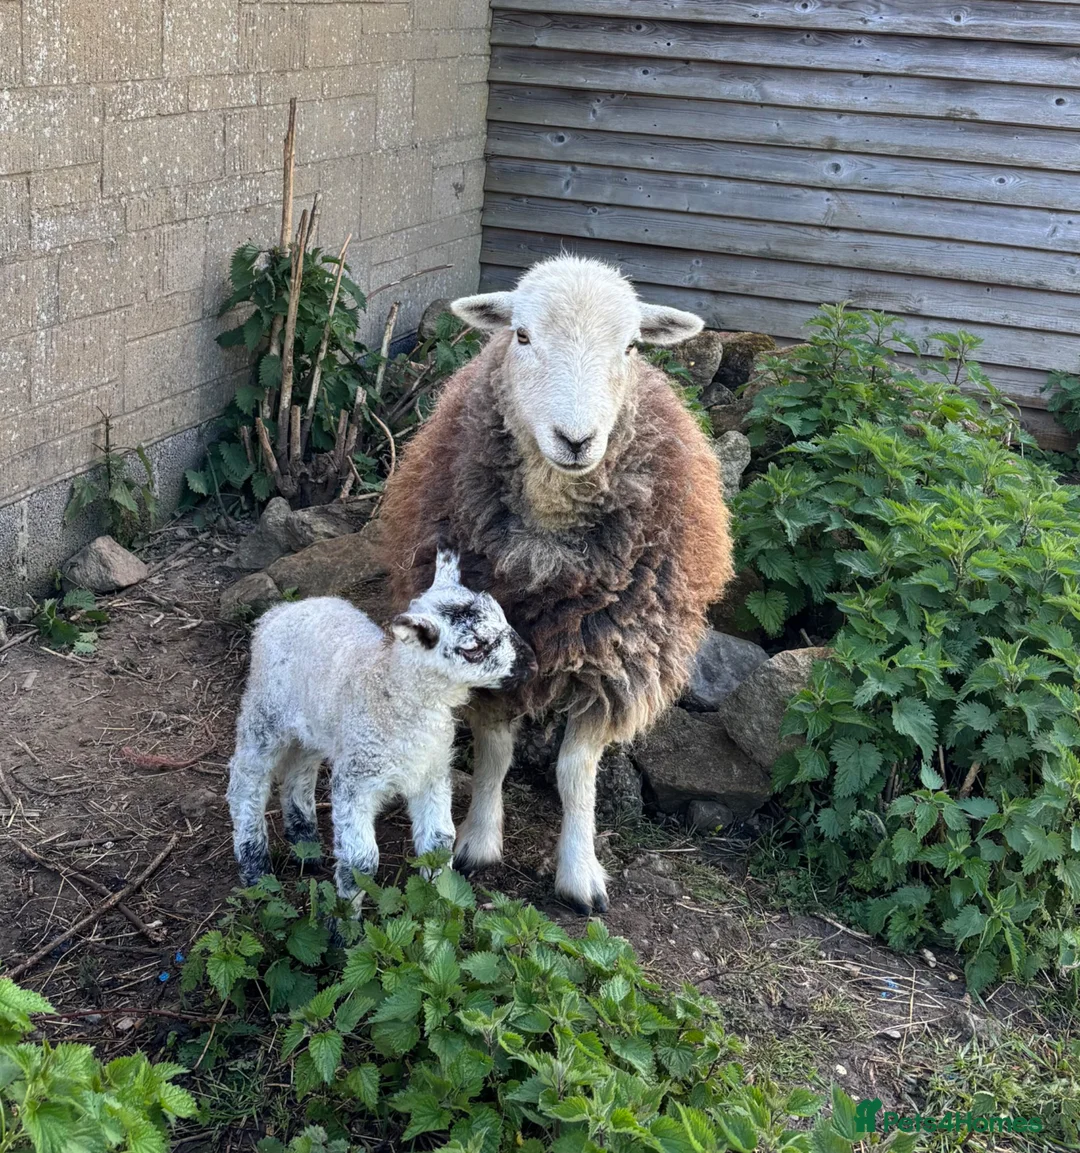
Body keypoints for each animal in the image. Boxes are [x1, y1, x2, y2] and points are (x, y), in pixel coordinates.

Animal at [225, 549, 536, 910]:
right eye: (473, 648)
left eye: (504, 617)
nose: (532, 664)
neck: (389, 685)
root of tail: (282, 611)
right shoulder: (356, 781)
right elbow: (361, 862)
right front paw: (343, 920)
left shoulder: (432, 771)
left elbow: (438, 842)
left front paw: (437, 901)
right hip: (264, 713)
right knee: (246, 781)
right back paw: (255, 868)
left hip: (316, 725)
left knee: (298, 774)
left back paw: (307, 847)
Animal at [378, 255, 734, 915]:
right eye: (522, 336)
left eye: (630, 346)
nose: (576, 440)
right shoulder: (489, 659)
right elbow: (495, 753)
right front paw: (478, 842)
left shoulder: (612, 658)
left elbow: (575, 773)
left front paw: (579, 873)